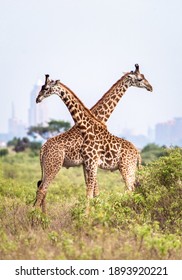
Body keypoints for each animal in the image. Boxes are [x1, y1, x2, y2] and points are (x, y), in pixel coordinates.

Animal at [34, 65, 152, 211]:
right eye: (140, 78)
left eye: (45, 88)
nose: (150, 87)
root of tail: (42, 148)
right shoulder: (88, 163)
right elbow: (93, 193)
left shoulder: (89, 163)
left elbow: (93, 192)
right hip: (53, 165)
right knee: (42, 189)